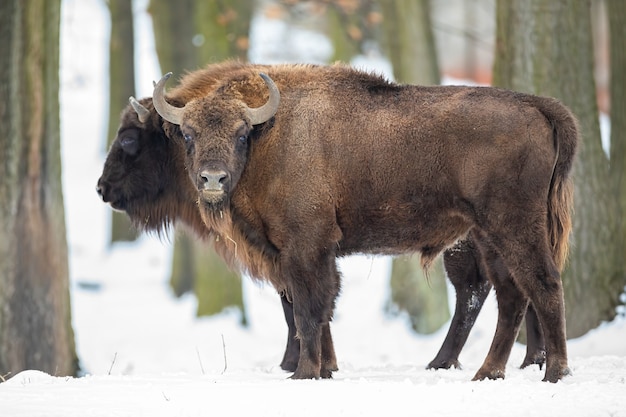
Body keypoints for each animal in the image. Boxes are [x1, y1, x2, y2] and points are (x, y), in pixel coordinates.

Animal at [149, 61, 572, 380]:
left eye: (240, 135)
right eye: (188, 134)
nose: (213, 179)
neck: (269, 134)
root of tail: (536, 105)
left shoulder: (305, 247)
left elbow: (307, 311)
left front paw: (305, 373)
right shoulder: (304, 254)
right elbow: (318, 310)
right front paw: (323, 370)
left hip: (514, 227)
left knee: (544, 285)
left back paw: (553, 372)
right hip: (486, 235)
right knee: (510, 294)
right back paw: (486, 372)